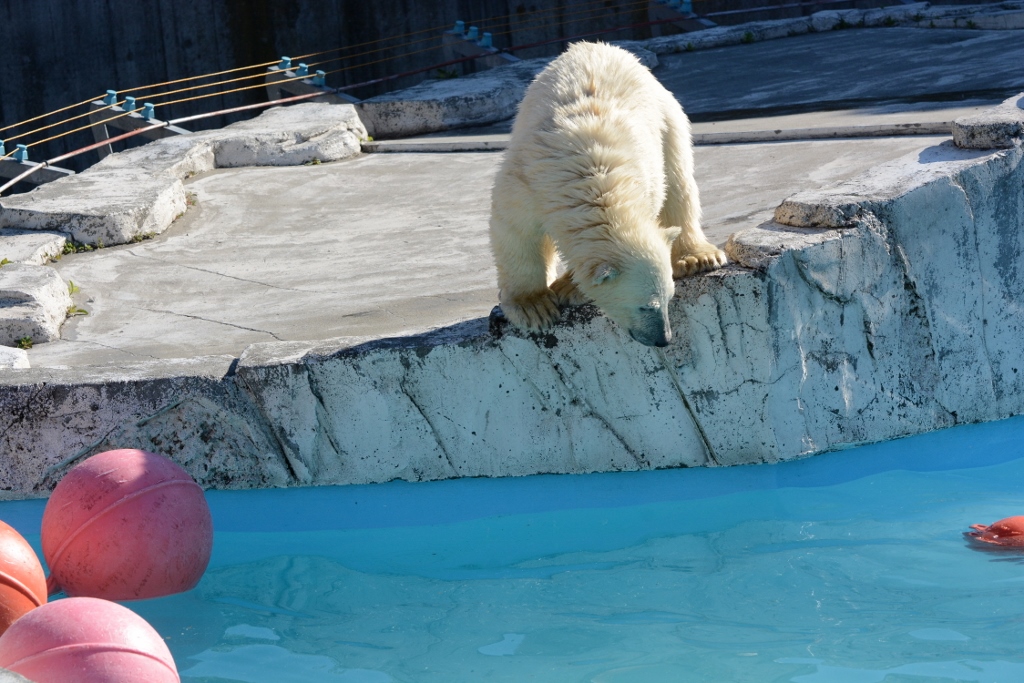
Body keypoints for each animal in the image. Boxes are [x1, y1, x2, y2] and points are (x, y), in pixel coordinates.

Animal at [489, 41, 724, 348]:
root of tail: (595, 45)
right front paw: (533, 307)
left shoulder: (645, 177)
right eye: (646, 306)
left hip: (667, 117)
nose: (663, 339)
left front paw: (569, 288)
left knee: (678, 179)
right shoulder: (527, 184)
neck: (595, 184)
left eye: (669, 298)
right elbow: (515, 229)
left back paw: (697, 257)